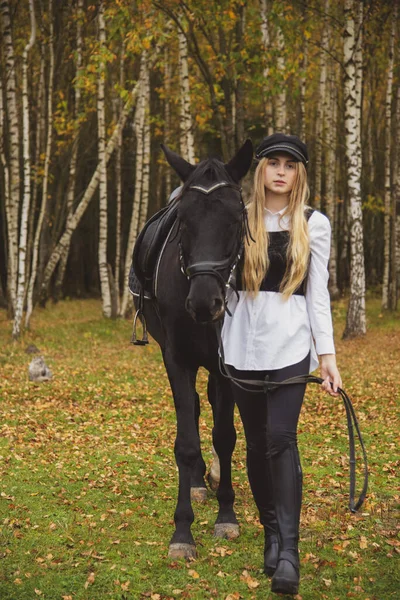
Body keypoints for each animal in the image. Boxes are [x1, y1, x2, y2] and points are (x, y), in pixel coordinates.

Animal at [134, 139, 253, 556]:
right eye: (183, 221)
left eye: (235, 219)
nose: (204, 303)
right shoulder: (177, 358)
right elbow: (186, 440)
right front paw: (182, 531)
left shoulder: (226, 365)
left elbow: (226, 435)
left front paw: (226, 516)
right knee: (198, 408)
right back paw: (201, 481)